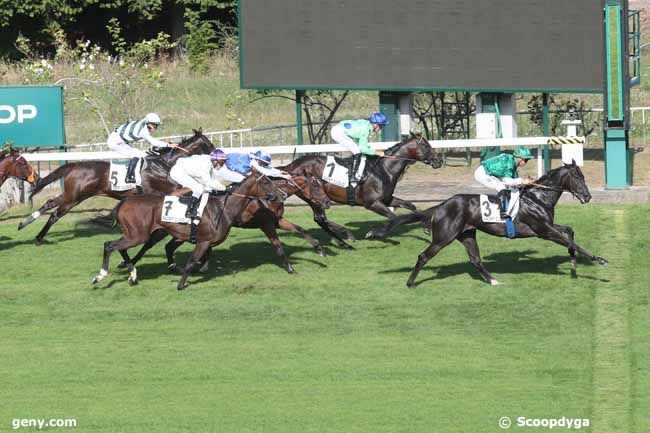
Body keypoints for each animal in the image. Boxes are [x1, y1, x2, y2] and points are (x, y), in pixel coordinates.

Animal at [18, 128, 213, 243]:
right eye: (209, 144)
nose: (217, 154)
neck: (164, 164)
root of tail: (74, 165)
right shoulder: (165, 189)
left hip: (72, 195)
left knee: (50, 203)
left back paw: (25, 225)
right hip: (73, 198)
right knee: (55, 214)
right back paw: (38, 237)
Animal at [91, 170, 284, 288]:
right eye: (265, 181)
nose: (281, 194)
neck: (223, 208)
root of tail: (124, 202)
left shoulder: (199, 240)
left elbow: (199, 260)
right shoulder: (204, 241)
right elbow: (192, 261)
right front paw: (181, 284)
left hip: (135, 234)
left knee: (119, 248)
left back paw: (132, 275)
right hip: (137, 235)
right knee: (109, 245)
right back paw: (101, 275)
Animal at [117, 174, 330, 272]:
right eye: (315, 186)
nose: (327, 202)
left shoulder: (276, 220)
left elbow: (300, 230)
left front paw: (319, 249)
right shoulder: (267, 224)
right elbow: (278, 246)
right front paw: (289, 267)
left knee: (167, 246)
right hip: (162, 229)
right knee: (148, 244)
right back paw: (128, 264)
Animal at [280, 133, 442, 245]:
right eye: (427, 146)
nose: (439, 160)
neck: (384, 169)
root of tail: (291, 165)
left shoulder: (387, 199)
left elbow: (411, 206)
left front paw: (426, 227)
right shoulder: (372, 203)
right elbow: (394, 217)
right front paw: (375, 233)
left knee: (320, 219)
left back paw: (342, 238)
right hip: (313, 196)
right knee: (320, 218)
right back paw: (346, 236)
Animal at [370, 160, 608, 286]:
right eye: (578, 178)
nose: (587, 197)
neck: (538, 197)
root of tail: (442, 205)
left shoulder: (547, 227)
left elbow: (570, 232)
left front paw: (573, 263)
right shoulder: (543, 230)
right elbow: (573, 242)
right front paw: (599, 259)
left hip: (467, 234)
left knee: (475, 260)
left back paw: (493, 280)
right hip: (444, 237)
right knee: (423, 256)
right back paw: (410, 283)